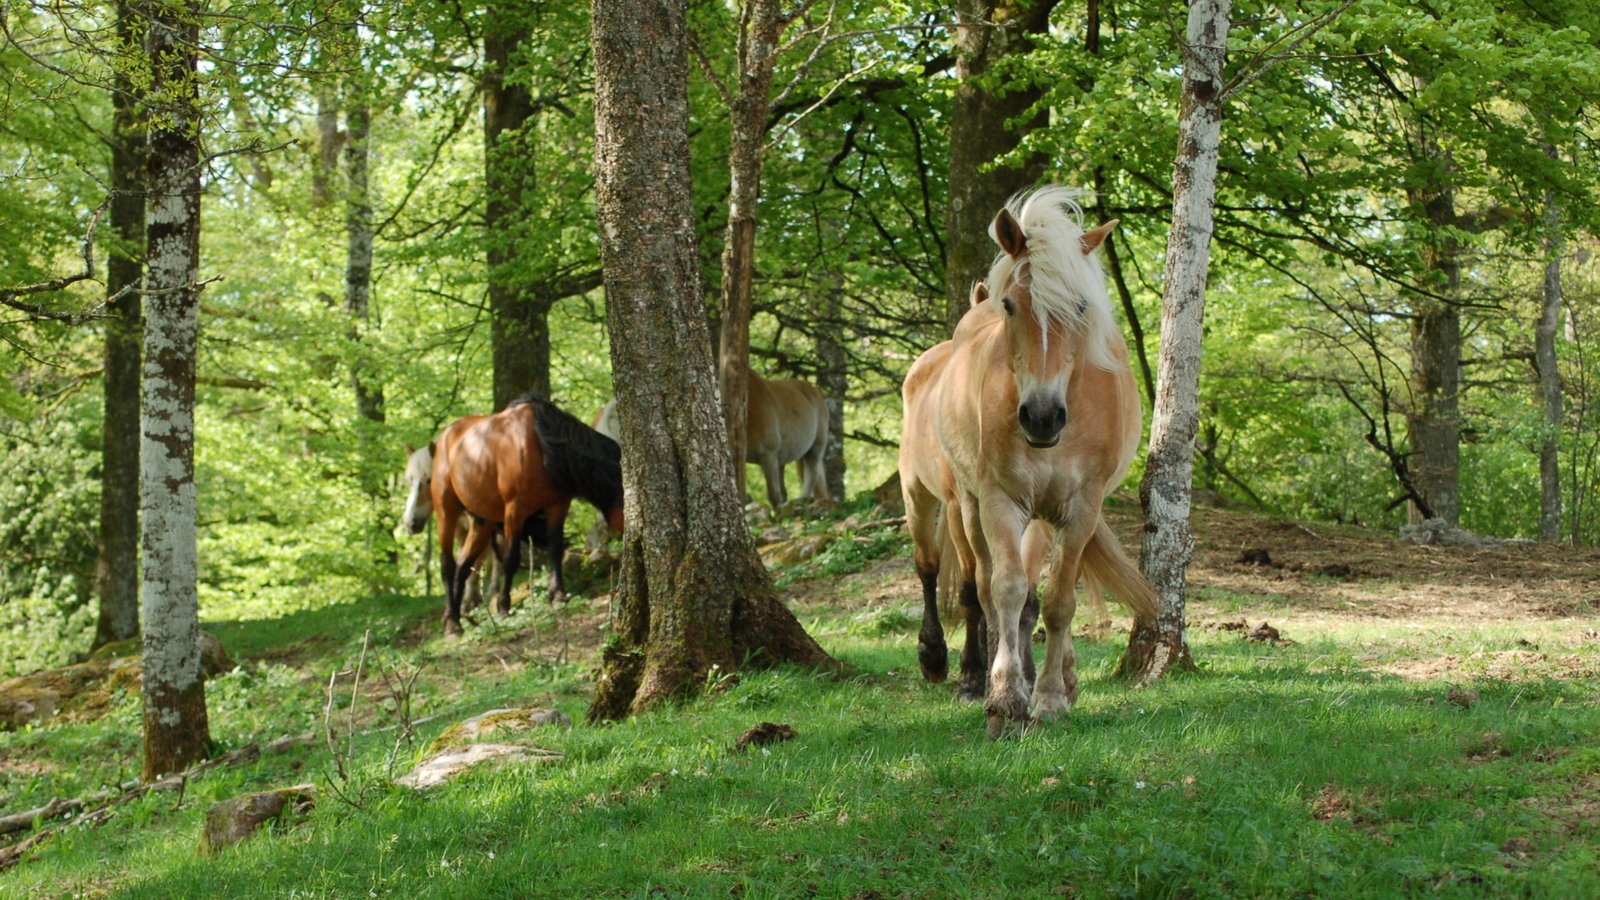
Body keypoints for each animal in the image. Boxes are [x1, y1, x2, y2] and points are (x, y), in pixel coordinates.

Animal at [432, 395, 625, 637]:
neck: (542, 444)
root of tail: (445, 437)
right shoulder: (515, 511)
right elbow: (510, 559)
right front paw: (503, 605)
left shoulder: (558, 505)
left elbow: (555, 549)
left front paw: (557, 594)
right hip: (446, 513)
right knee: (447, 565)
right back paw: (451, 624)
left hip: (482, 521)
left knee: (462, 566)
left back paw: (456, 619)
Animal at [595, 371, 828, 511]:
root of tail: (813, 390)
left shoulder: (768, 456)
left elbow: (773, 494)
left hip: (816, 447)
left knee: (812, 472)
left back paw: (803, 499)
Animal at [900, 186, 1156, 737]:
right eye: (1011, 305)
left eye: (1081, 306)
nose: (1041, 416)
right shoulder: (999, 500)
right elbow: (1006, 589)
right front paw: (1005, 698)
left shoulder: (1080, 507)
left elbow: (1058, 601)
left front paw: (1053, 696)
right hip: (938, 500)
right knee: (948, 575)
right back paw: (948, 663)